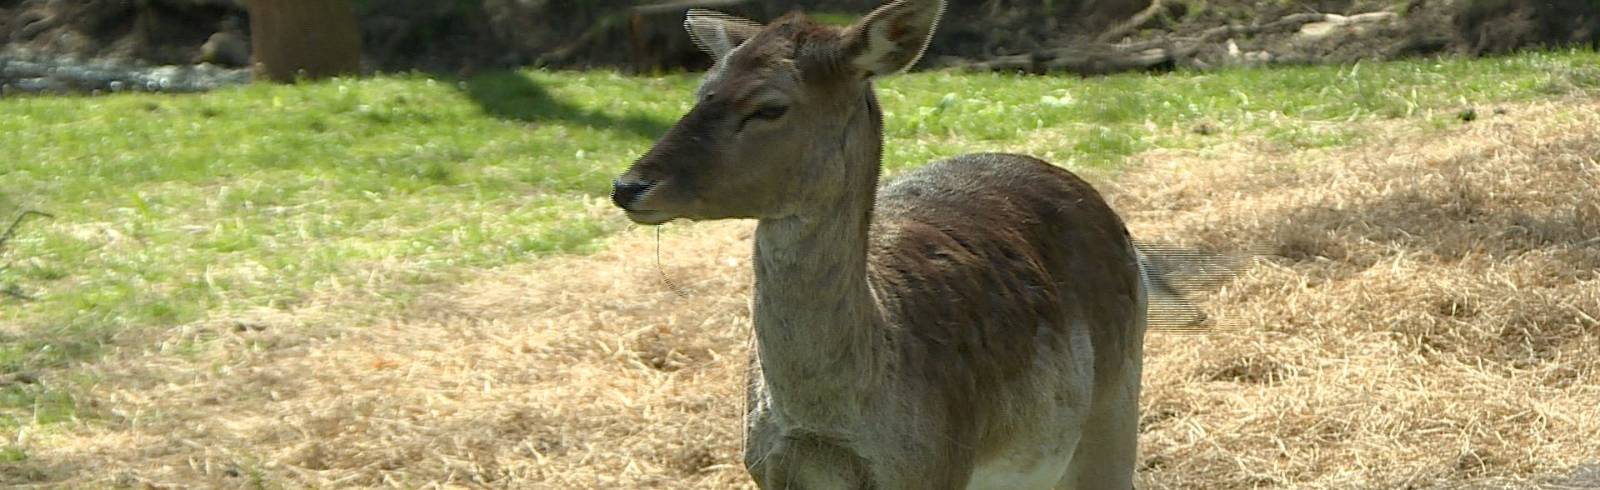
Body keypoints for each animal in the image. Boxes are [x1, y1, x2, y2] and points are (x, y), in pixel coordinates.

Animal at [611, 1, 1152, 486]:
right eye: (702, 90)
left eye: (770, 107)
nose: (628, 186)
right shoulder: (767, 468)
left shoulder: (938, 468)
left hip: (1115, 408)